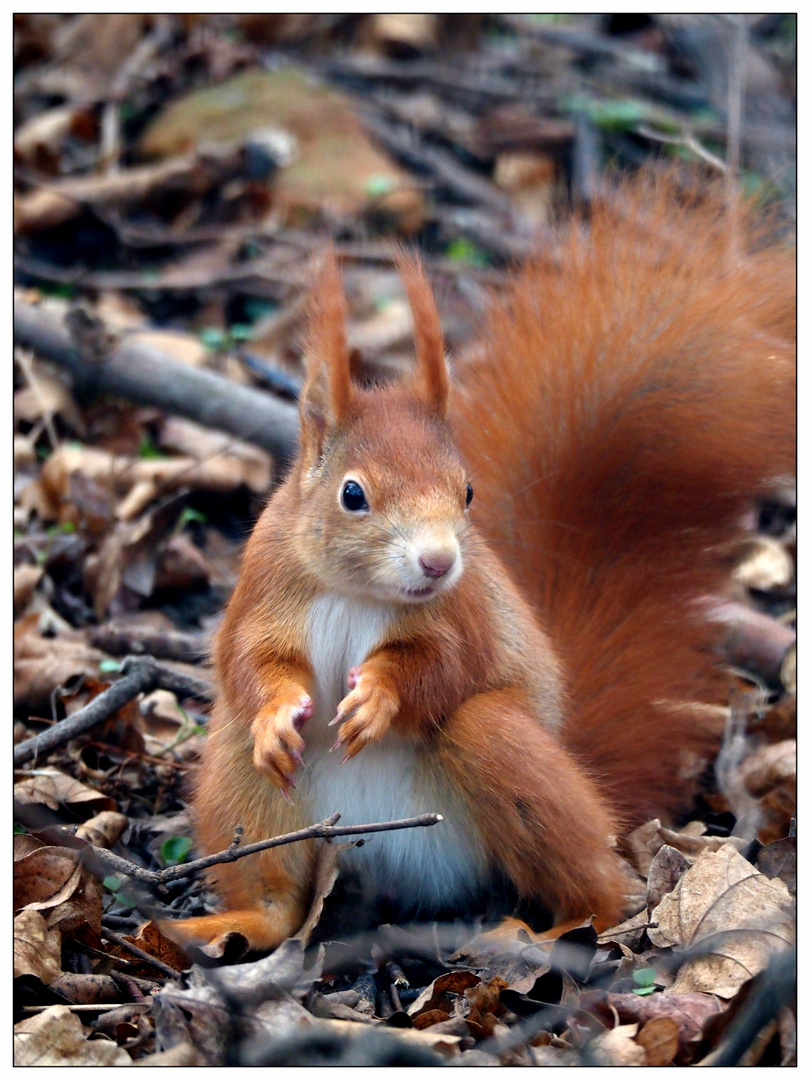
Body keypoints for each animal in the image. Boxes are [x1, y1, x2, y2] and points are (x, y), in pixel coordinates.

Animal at [163, 174, 794, 954]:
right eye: (352, 494)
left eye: (467, 491)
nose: (438, 562)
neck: (358, 593)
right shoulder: (263, 585)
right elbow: (248, 661)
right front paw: (279, 711)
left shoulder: (466, 614)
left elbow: (450, 667)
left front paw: (382, 695)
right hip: (239, 780)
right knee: (274, 880)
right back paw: (238, 920)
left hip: (505, 753)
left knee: (593, 876)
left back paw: (559, 928)